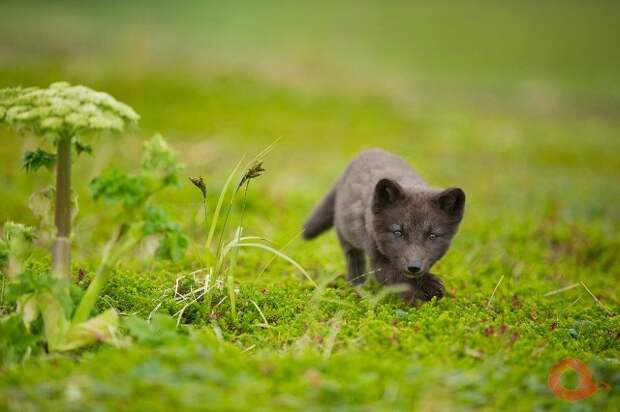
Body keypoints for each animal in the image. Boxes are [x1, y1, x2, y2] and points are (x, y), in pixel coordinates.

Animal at [300, 150, 464, 304]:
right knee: (354, 264)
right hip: (347, 239)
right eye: (397, 232)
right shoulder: (377, 258)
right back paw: (357, 289)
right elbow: (398, 276)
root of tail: (368, 151)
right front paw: (427, 286)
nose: (413, 267)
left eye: (432, 236)